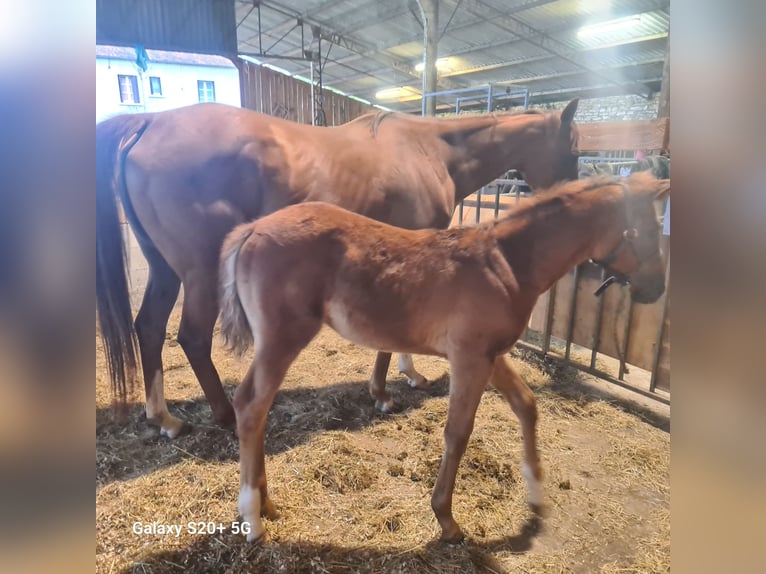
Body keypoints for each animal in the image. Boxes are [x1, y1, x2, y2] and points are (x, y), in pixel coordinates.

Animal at [218, 172, 672, 544]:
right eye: (647, 229)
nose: (655, 289)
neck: (506, 264)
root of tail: (252, 229)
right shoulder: (469, 357)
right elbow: (458, 432)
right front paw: (447, 520)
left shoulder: (491, 354)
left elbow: (527, 405)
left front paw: (536, 496)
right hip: (283, 337)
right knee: (251, 405)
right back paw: (253, 519)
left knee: (258, 410)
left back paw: (268, 505)